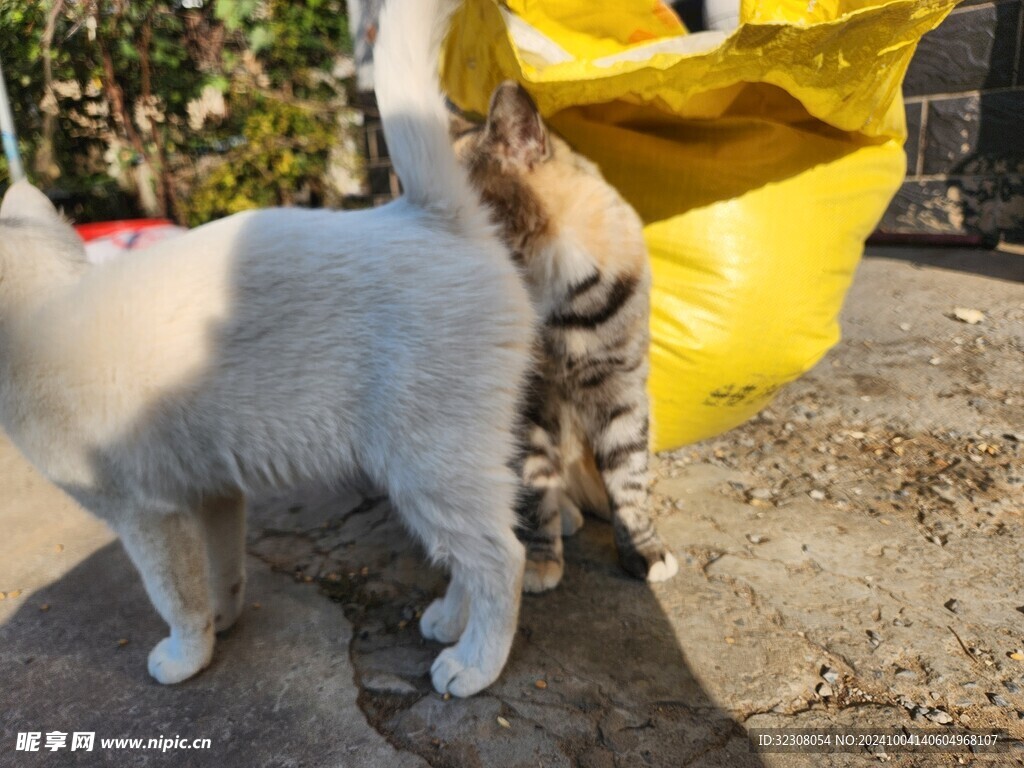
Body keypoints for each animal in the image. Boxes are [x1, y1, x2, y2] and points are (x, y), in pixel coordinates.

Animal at [2, 0, 536, 700]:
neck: (38, 307)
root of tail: (427, 214)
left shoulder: (146, 516)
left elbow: (174, 595)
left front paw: (186, 656)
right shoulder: (212, 495)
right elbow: (220, 570)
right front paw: (222, 621)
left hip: (427, 465)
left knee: (501, 556)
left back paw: (474, 663)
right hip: (446, 470)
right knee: (469, 556)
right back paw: (450, 621)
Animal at [452, 82, 675, 589]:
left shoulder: (622, 390)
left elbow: (628, 479)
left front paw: (643, 549)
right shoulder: (529, 407)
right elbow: (537, 486)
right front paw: (539, 558)